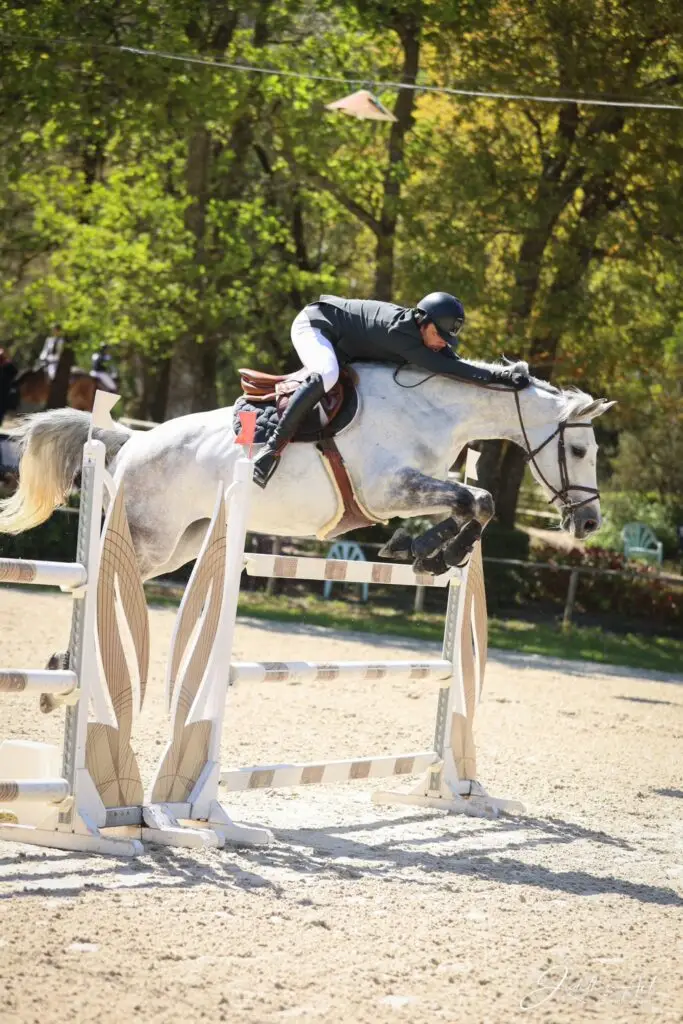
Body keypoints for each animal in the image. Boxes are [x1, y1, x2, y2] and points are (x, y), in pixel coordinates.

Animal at [0, 362, 614, 581]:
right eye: (580, 450)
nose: (589, 524)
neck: (433, 405)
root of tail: (131, 442)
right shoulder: (388, 490)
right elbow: (476, 500)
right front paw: (427, 552)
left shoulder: (408, 490)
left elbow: (473, 500)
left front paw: (432, 553)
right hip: (148, 538)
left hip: (183, 544)